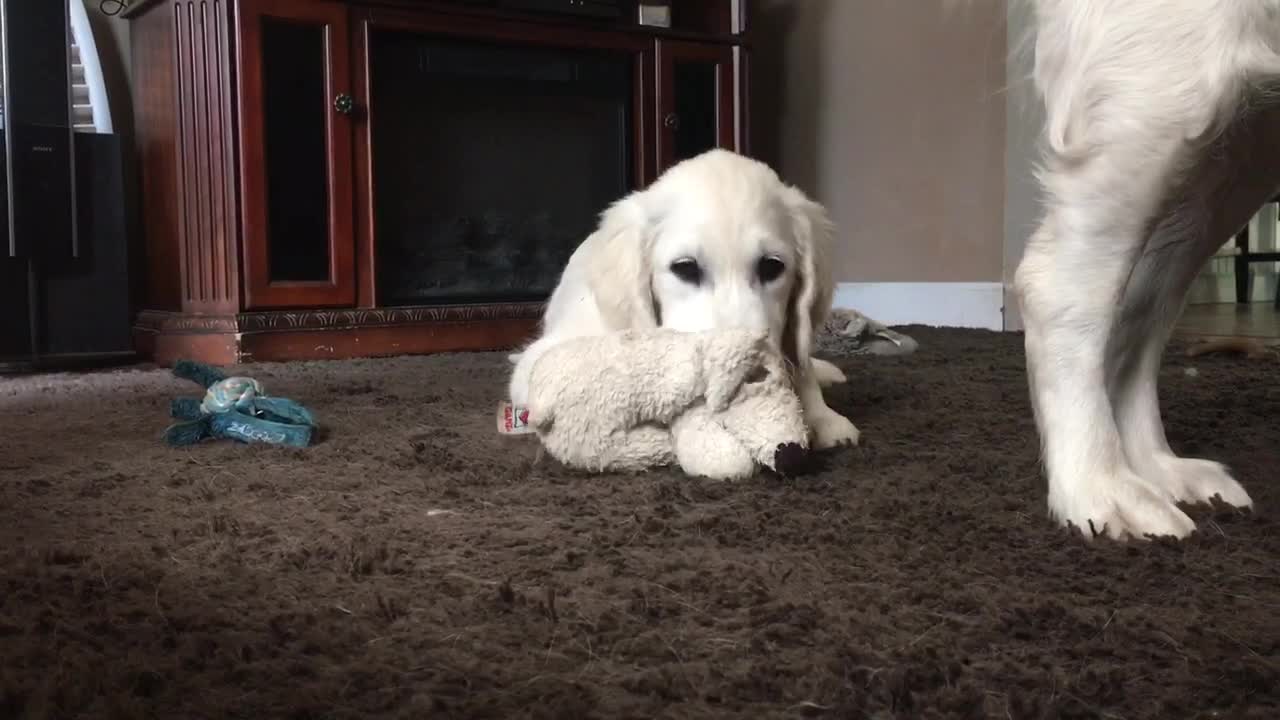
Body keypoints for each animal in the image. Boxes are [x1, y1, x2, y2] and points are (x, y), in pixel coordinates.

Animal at [1013, 0, 1274, 538]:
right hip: (1166, 90)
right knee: (1059, 283)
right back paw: (1101, 486)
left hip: (1239, 145)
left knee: (1138, 311)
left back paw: (1155, 467)